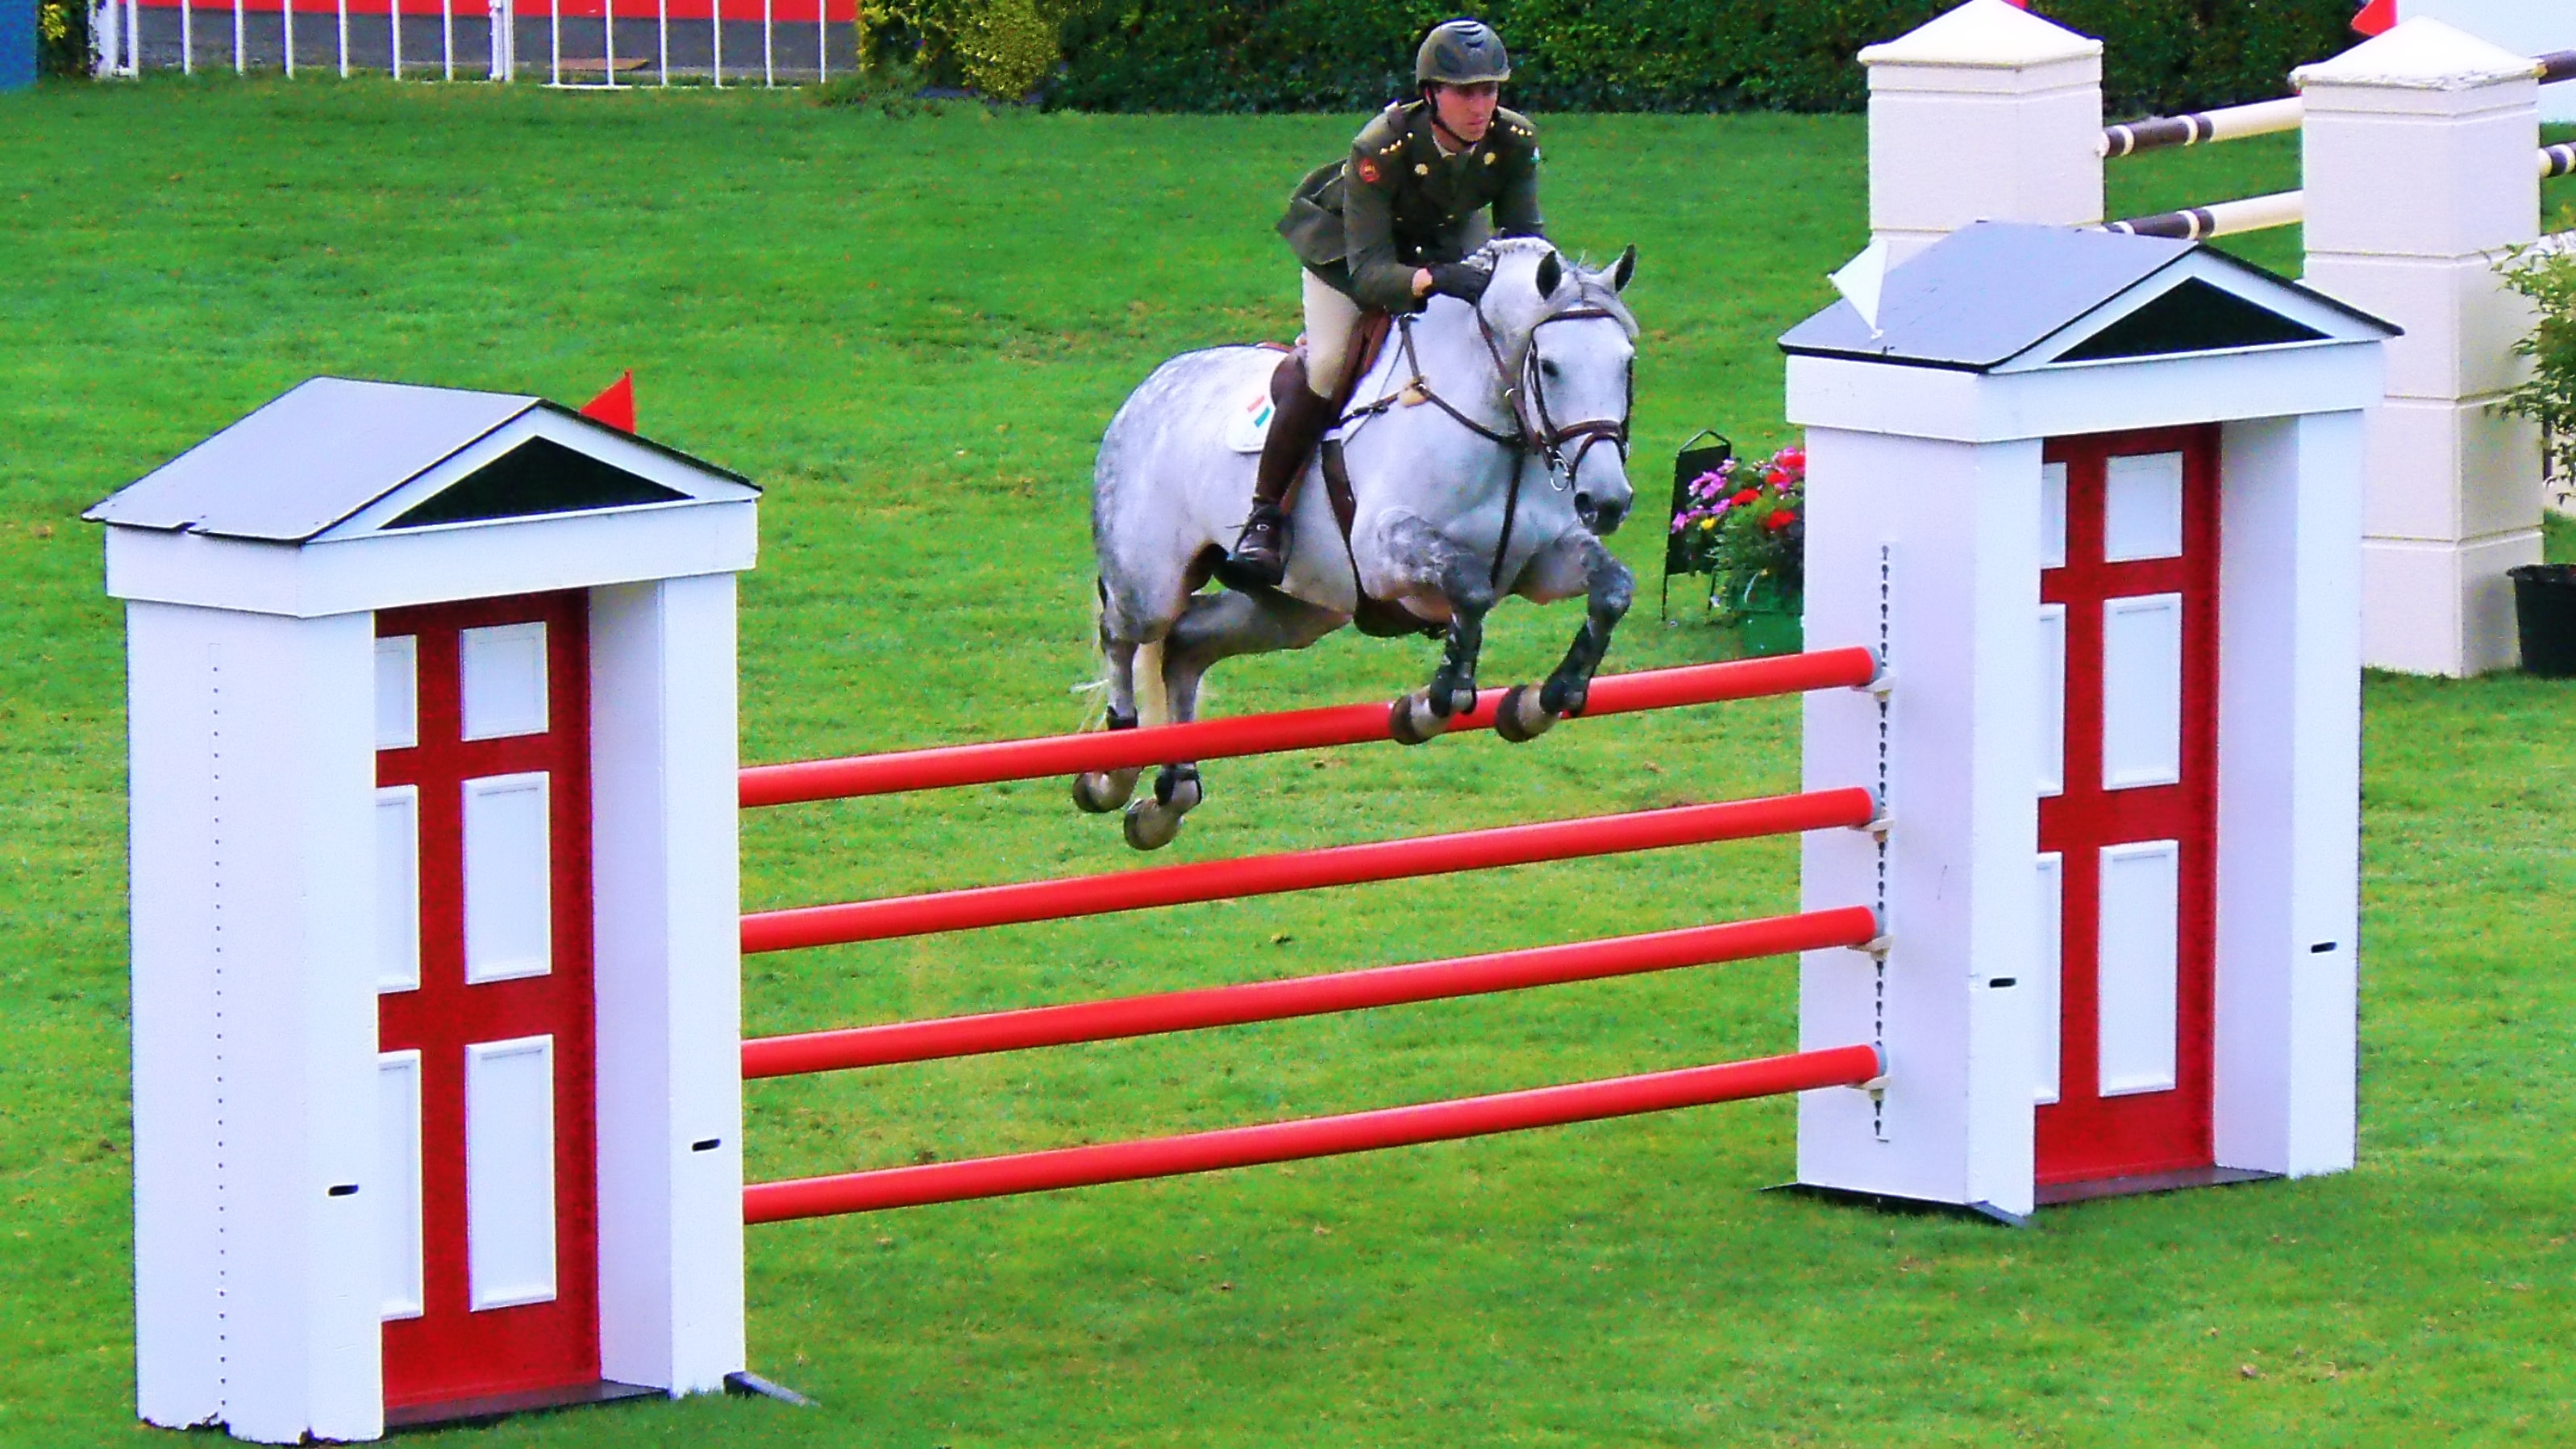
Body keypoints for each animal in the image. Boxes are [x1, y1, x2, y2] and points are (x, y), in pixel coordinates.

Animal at [1076, 237, 1638, 845]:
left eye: (1626, 362)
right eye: (1550, 367)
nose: (1607, 501)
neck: (1500, 430)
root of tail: (1149, 390)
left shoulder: (1543, 562)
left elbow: (1613, 589)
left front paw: (1542, 701)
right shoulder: (1386, 552)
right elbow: (1469, 586)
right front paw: (1433, 703)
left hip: (1298, 609)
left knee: (1186, 645)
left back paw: (1167, 799)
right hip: (1149, 583)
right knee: (1123, 634)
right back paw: (1110, 773)